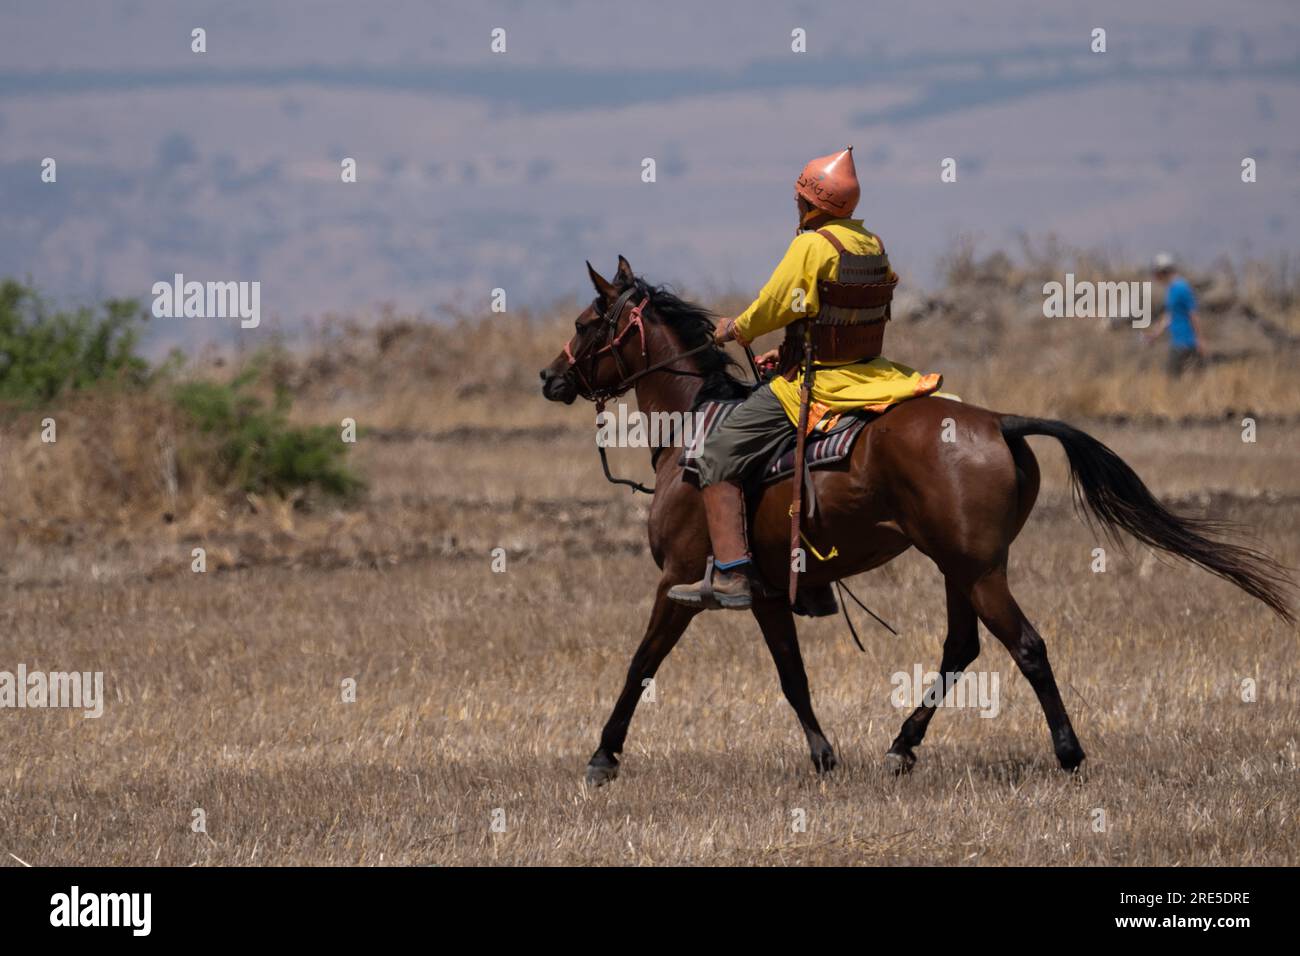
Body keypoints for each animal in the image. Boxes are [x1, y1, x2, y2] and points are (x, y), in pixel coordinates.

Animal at [538, 256, 1289, 785]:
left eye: (584, 323)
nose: (550, 377)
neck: (692, 426)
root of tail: (998, 421)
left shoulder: (679, 579)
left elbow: (641, 664)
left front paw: (603, 756)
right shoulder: (765, 590)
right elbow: (792, 675)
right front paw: (823, 756)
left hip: (977, 568)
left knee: (1027, 646)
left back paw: (1068, 752)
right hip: (963, 565)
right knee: (963, 647)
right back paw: (902, 746)